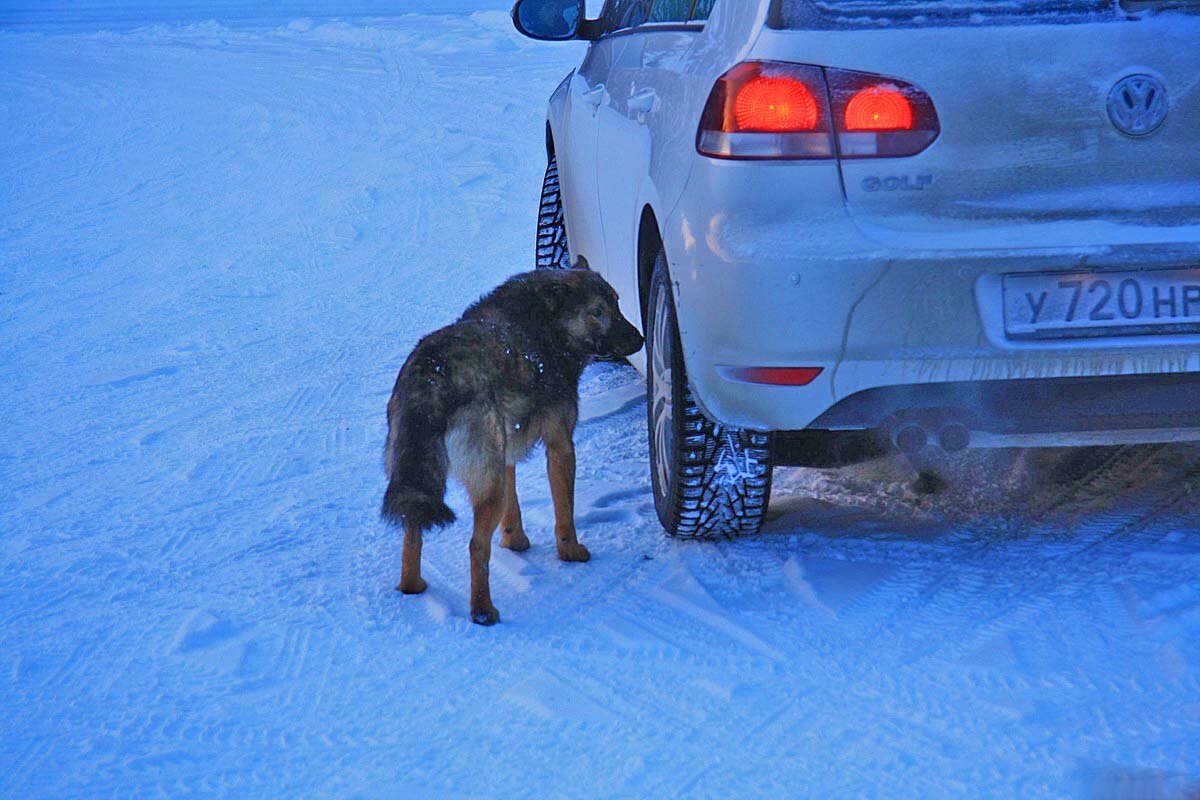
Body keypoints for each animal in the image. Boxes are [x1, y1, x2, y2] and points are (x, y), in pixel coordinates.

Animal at [384, 268, 648, 623]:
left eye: (617, 303)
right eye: (596, 311)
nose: (640, 339)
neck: (544, 325)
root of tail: (432, 375)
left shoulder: (505, 454)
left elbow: (514, 508)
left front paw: (516, 542)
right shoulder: (561, 446)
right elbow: (565, 513)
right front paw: (571, 553)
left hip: (425, 479)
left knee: (412, 533)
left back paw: (413, 587)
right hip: (486, 486)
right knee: (476, 547)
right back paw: (483, 611)